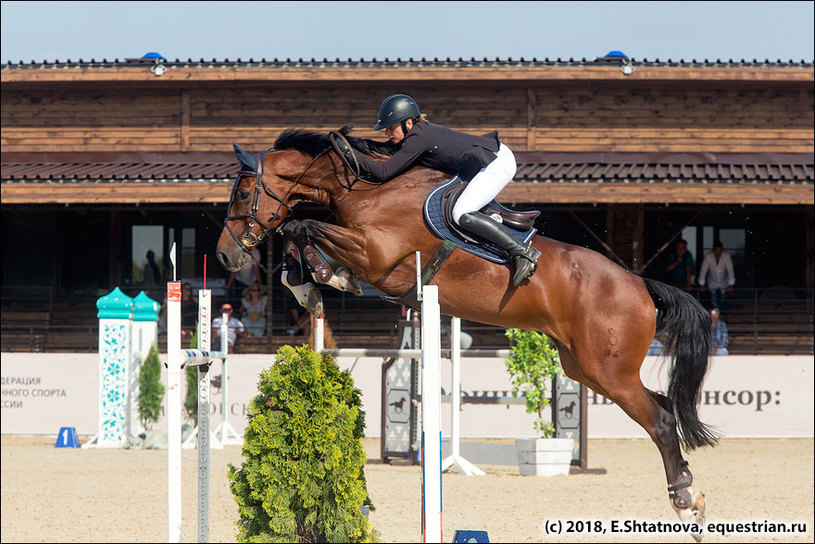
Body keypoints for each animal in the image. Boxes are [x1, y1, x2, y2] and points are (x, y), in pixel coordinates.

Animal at [217, 125, 720, 536]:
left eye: (242, 195)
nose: (225, 256)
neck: (364, 190)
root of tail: (639, 284)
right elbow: (298, 230)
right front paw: (309, 283)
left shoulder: (375, 254)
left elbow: (302, 225)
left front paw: (323, 278)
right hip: (585, 369)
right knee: (663, 407)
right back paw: (690, 493)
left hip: (609, 371)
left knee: (660, 420)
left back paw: (685, 501)